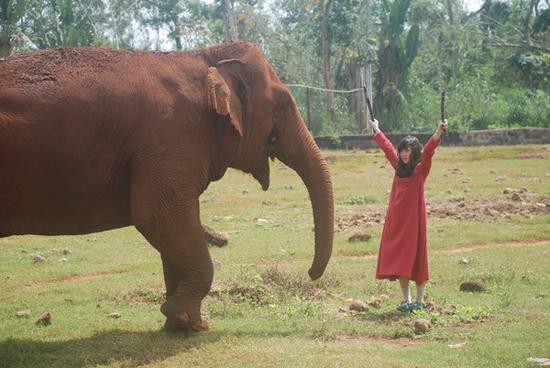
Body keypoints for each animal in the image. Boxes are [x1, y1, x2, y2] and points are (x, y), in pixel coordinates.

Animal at [0, 41, 334, 332]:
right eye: (282, 107)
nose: (311, 274)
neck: (204, 55)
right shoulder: (171, 135)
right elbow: (157, 215)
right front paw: (184, 317)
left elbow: (171, 229)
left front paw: (185, 325)